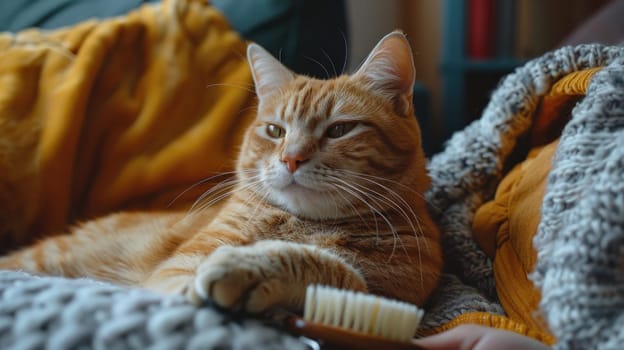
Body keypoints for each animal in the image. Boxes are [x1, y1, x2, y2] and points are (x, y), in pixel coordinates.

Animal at [0, 31, 442, 314]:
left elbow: (335, 273)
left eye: (339, 130)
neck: (306, 225)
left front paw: (251, 267)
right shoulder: (175, 267)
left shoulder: (393, 297)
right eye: (275, 131)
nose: (292, 159)